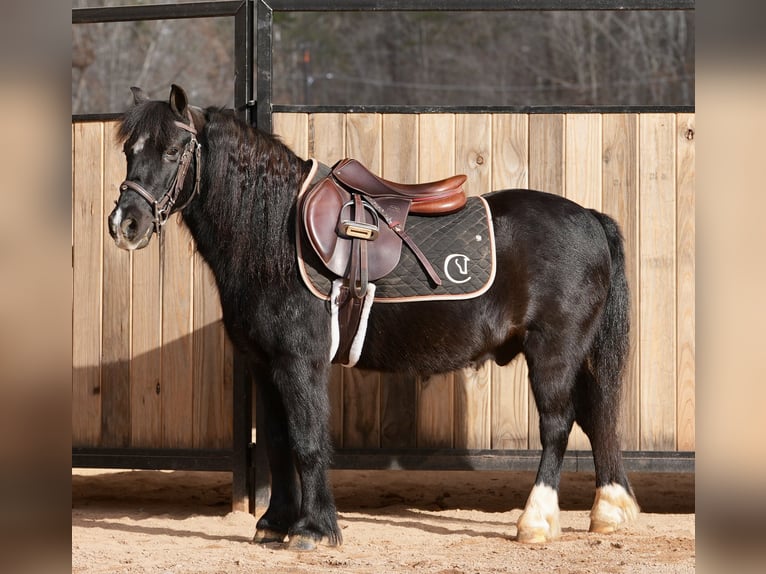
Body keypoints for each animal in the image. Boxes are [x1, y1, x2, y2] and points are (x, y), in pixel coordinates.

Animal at [108, 84, 639, 549]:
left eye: (174, 150)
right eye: (130, 151)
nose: (124, 224)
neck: (277, 235)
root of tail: (591, 218)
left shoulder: (300, 363)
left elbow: (307, 441)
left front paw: (314, 530)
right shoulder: (264, 364)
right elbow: (278, 442)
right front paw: (274, 524)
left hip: (553, 350)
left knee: (558, 424)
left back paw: (536, 521)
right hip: (579, 354)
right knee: (597, 414)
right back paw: (610, 510)